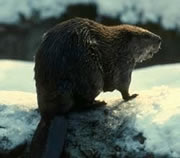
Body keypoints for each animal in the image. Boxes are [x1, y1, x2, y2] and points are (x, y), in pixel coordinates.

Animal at [31, 17, 162, 157]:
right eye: (146, 35)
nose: (159, 39)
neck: (120, 43)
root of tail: (52, 114)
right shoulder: (123, 62)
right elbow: (123, 84)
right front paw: (132, 95)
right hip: (92, 77)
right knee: (82, 103)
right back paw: (99, 102)